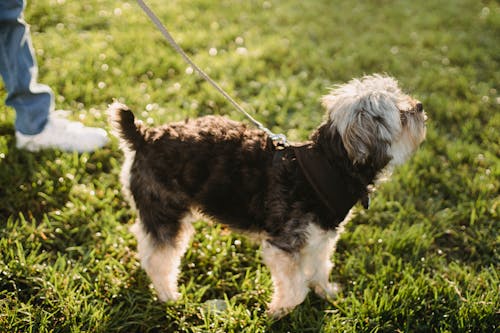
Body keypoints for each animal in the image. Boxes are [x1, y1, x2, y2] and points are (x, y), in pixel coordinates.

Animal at [108, 74, 426, 318]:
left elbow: (320, 267)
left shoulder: (320, 237)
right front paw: (279, 311)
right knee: (158, 259)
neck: (330, 164)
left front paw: (326, 292)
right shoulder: (282, 246)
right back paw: (168, 295)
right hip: (165, 213)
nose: (420, 105)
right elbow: (295, 287)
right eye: (401, 114)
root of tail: (143, 137)